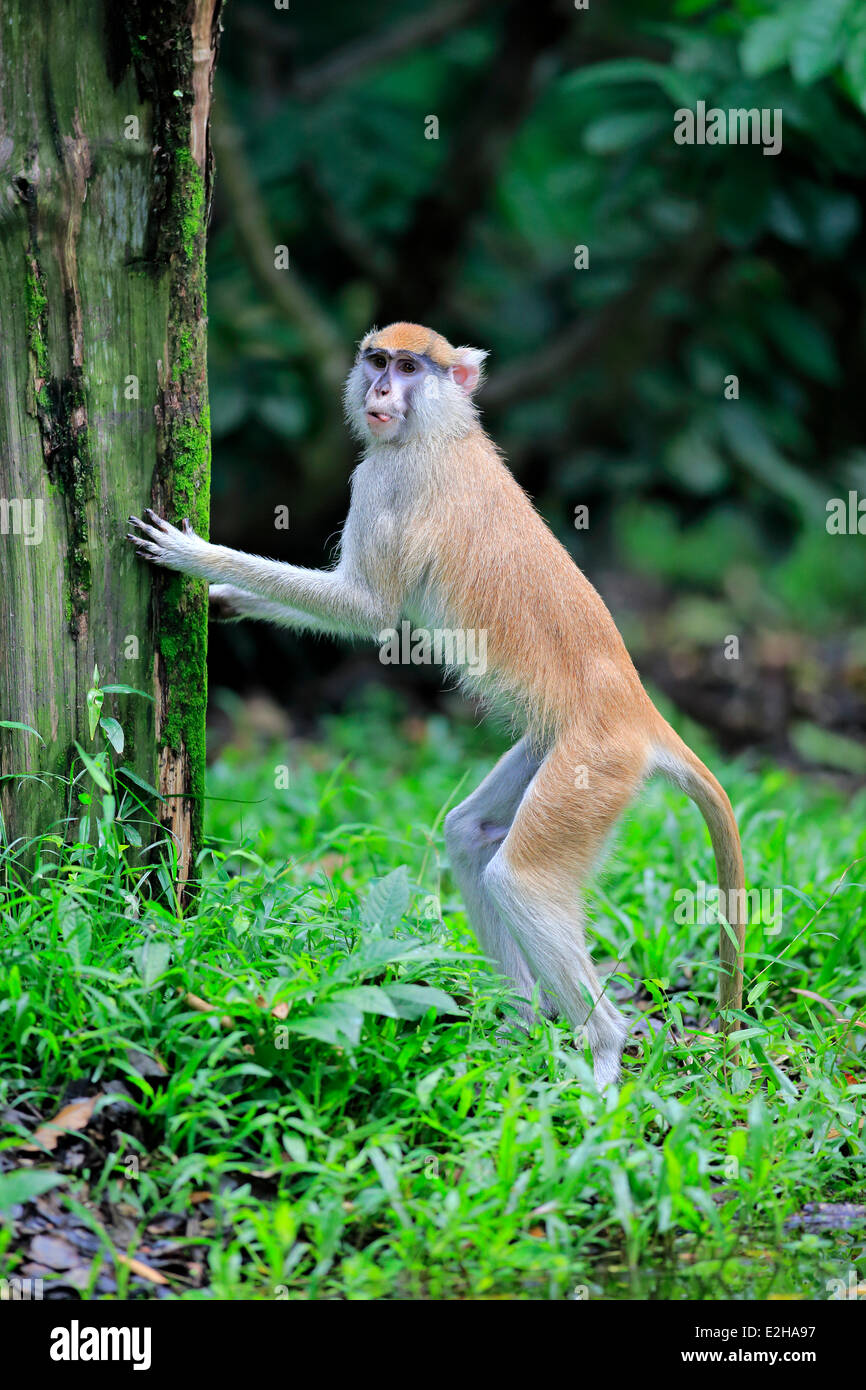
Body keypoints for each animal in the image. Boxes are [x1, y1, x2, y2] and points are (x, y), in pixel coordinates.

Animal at [129, 321, 745, 1087]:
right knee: (471, 835)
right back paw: (520, 1024)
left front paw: (194, 556)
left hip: (595, 764)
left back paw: (602, 1054)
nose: (380, 389)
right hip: (564, 753)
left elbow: (367, 608)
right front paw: (228, 600)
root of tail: (640, 711)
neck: (440, 431)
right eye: (377, 360)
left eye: (410, 367)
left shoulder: (387, 482)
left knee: (522, 881)